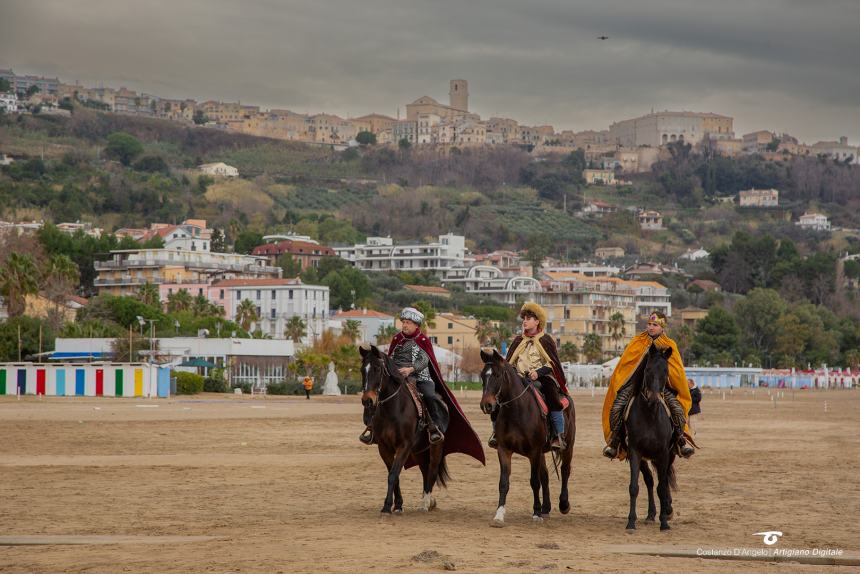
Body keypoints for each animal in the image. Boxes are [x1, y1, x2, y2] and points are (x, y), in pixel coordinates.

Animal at [360, 344, 450, 516]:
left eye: (377, 369)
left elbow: (393, 474)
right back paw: (428, 501)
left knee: (432, 470)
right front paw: (398, 505)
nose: (367, 400)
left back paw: (425, 503)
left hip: (436, 447)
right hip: (419, 451)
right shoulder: (384, 447)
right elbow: (394, 475)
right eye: (362, 369)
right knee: (424, 470)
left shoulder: (404, 445)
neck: (393, 408)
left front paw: (387, 506)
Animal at [480, 348, 576, 528]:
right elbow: (504, 482)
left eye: (497, 375)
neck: (518, 411)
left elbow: (534, 481)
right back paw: (546, 508)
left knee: (565, 471)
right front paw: (499, 515)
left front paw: (536, 513)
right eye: (482, 375)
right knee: (545, 475)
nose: (487, 405)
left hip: (568, 446)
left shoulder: (534, 452)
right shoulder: (504, 450)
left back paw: (563, 504)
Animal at [624, 344, 680, 532]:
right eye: (647, 369)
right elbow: (634, 487)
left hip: (668, 456)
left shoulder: (663, 453)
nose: (654, 399)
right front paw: (631, 522)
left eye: (665, 371)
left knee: (664, 481)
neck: (650, 415)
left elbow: (662, 487)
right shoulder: (635, 451)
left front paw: (664, 522)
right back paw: (650, 514)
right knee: (649, 480)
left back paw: (667, 509)